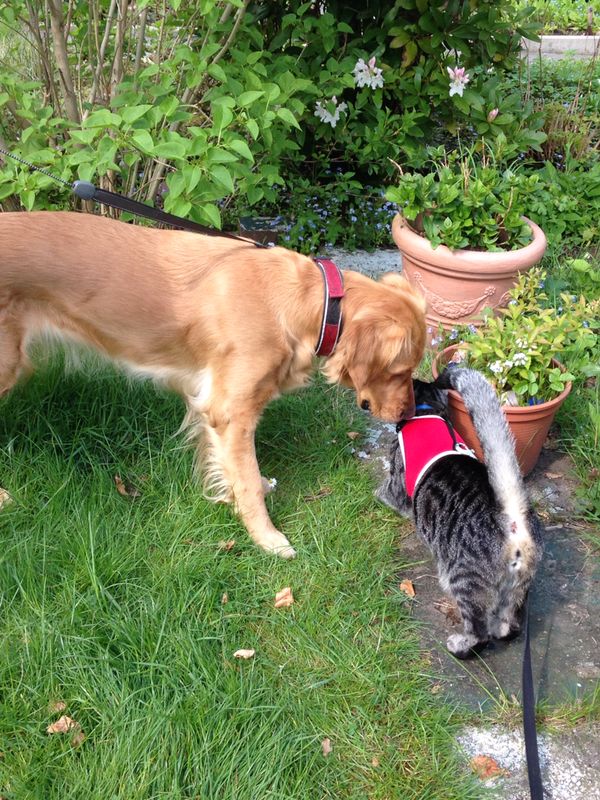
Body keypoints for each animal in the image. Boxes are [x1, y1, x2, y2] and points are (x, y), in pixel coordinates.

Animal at [0, 211, 426, 557]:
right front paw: (268, 538)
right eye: (400, 370)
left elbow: (241, 472)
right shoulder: (231, 412)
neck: (309, 303)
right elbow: (248, 481)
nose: (408, 414)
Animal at [376, 367, 543, 659]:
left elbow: (385, 491)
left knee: (480, 633)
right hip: (518, 586)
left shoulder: (395, 487)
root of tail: (509, 515)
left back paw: (460, 646)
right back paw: (501, 628)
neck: (426, 410)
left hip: (464, 580)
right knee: (509, 626)